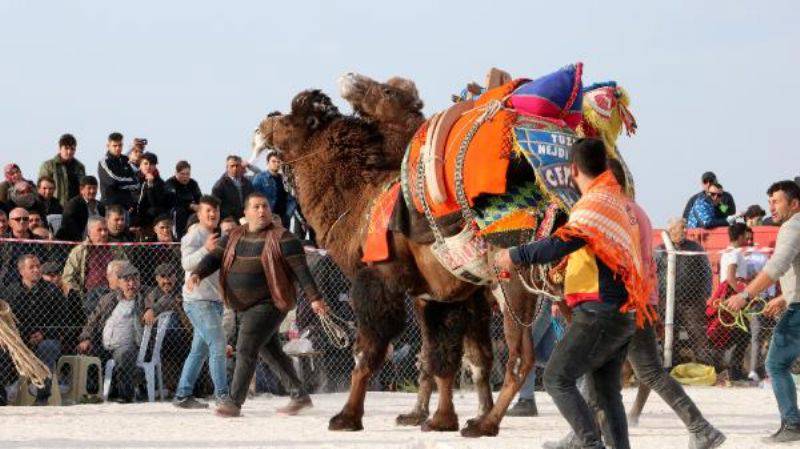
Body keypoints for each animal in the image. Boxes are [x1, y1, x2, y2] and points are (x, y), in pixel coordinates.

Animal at [253, 89, 540, 436]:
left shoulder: (379, 279)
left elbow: (367, 352)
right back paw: (482, 418)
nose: (261, 125)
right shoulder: (442, 293)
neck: (359, 205)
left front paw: (347, 417)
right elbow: (446, 356)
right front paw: (436, 418)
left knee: (522, 358)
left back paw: (486, 424)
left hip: (513, 280)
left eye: (287, 121)